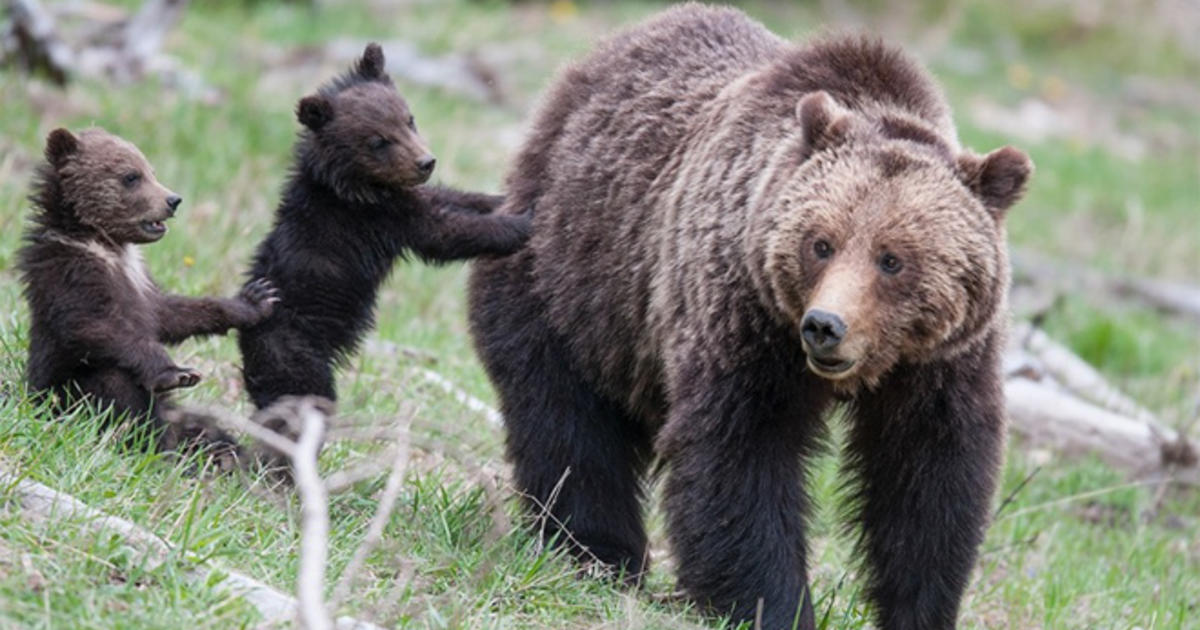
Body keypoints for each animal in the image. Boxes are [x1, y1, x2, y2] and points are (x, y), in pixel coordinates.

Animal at [21, 129, 274, 451]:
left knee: (204, 430)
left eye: (150, 170)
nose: (173, 200)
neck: (106, 244)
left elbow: (169, 314)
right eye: (131, 176)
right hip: (62, 395)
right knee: (116, 388)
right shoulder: (71, 273)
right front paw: (178, 373)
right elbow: (96, 325)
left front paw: (256, 298)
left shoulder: (139, 281)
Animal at [238, 42, 530, 408]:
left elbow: (449, 198)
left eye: (409, 119)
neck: (355, 185)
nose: (426, 162)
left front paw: (499, 199)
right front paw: (521, 223)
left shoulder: (401, 200)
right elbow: (445, 234)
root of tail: (246, 335)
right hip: (295, 350)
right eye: (378, 140)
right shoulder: (377, 218)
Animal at [468, 6, 1032, 628]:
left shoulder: (944, 362)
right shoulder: (744, 319)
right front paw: (775, 605)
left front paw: (918, 609)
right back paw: (596, 551)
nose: (825, 326)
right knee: (567, 420)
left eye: (893, 259)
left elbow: (928, 481)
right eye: (821, 244)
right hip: (575, 279)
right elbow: (740, 458)